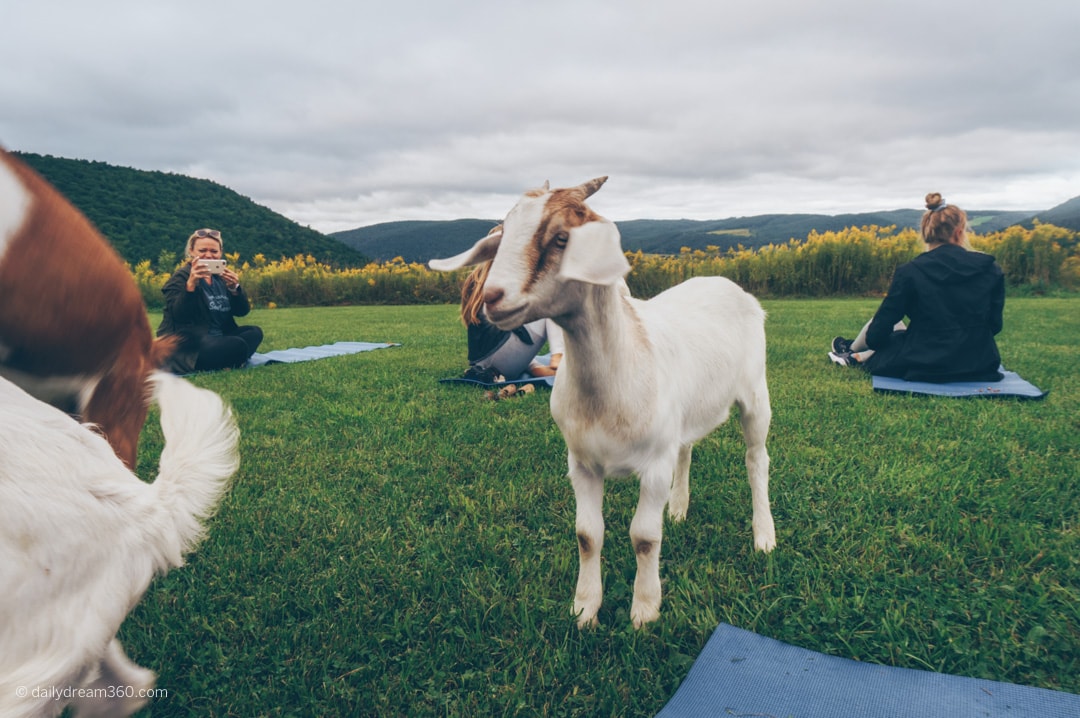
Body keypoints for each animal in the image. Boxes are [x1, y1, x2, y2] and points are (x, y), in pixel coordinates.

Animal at [429, 175, 777, 626]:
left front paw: (644, 610)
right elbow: (587, 535)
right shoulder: (581, 464)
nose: (491, 297)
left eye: (562, 238)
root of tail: (720, 280)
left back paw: (763, 536)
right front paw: (585, 609)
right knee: (687, 450)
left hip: (755, 395)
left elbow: (644, 537)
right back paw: (678, 509)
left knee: (756, 460)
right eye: (503, 237)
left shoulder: (655, 465)